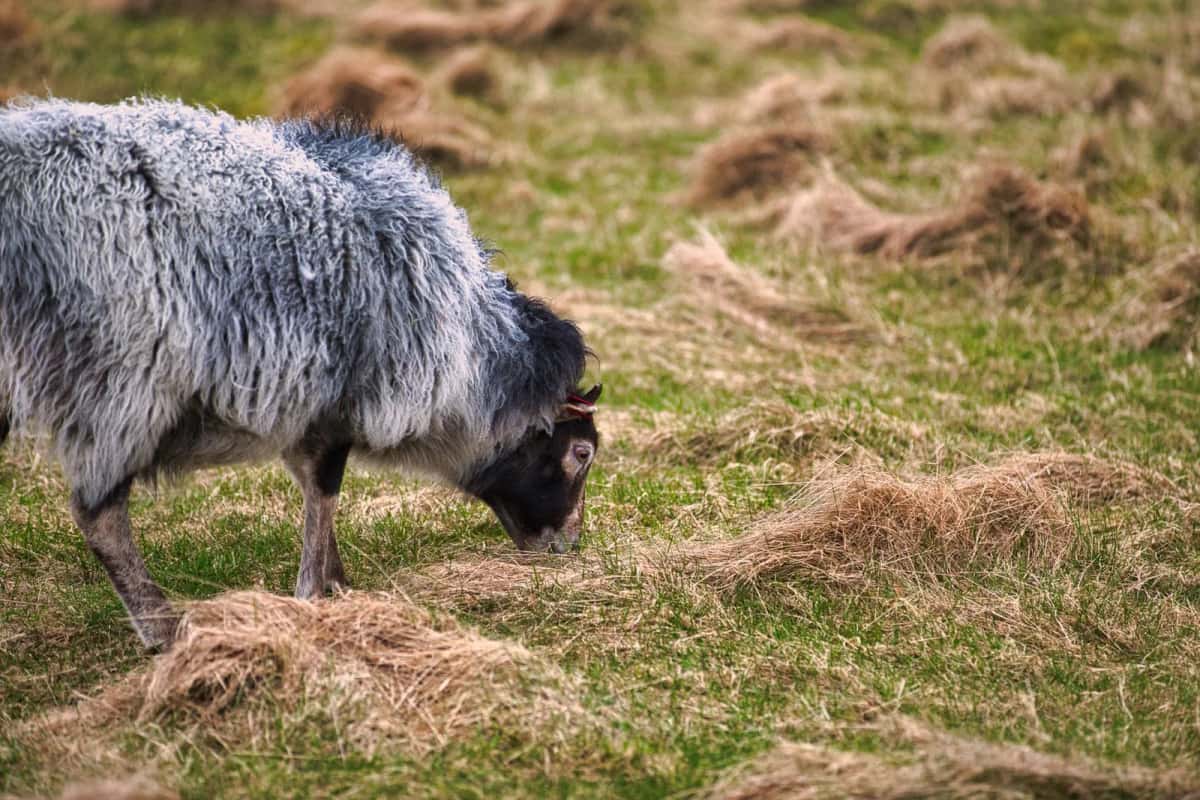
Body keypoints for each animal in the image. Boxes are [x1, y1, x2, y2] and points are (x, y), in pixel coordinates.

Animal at [0, 97, 601, 649]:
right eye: (581, 453)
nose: (566, 548)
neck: (470, 358)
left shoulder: (305, 407)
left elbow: (312, 488)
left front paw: (337, 585)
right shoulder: (341, 401)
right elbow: (324, 490)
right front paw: (314, 596)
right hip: (116, 382)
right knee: (98, 516)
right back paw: (164, 631)